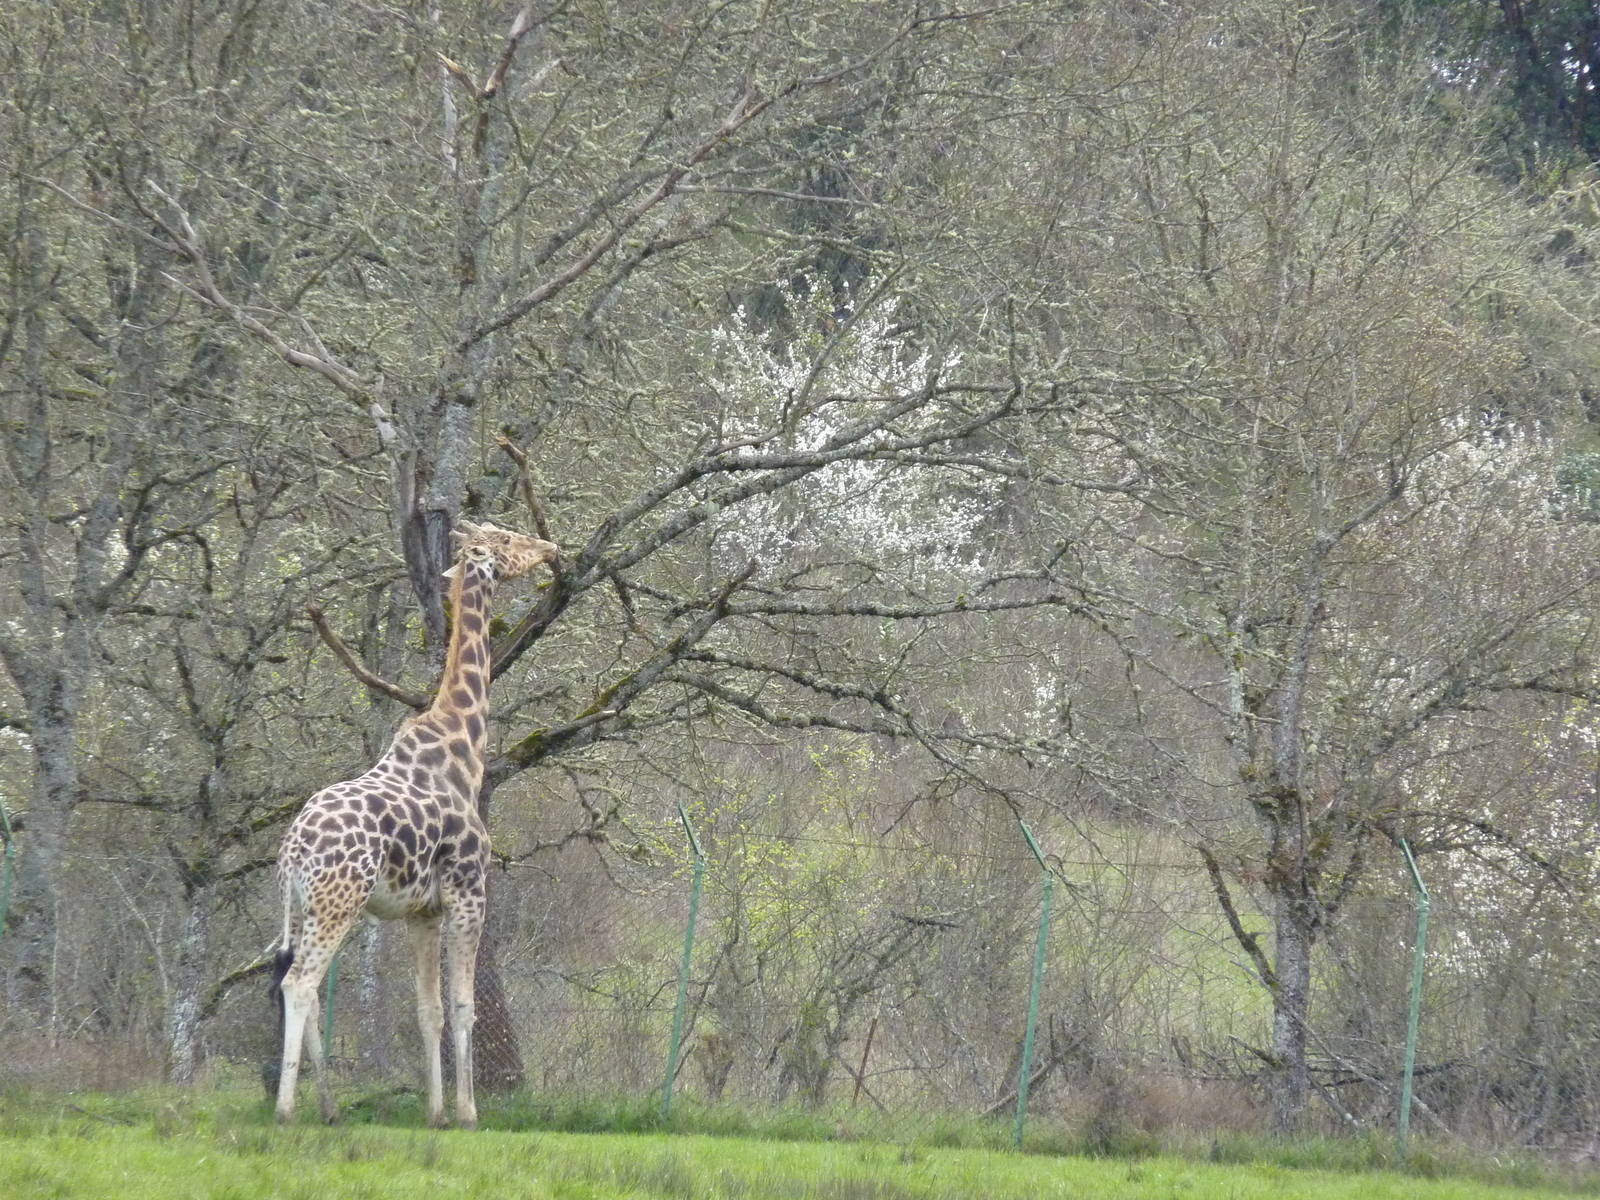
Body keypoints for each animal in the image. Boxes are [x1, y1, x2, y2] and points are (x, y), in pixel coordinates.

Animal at [271, 520, 558, 1128]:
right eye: (505, 539)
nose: (550, 548)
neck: (462, 746)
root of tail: (292, 851)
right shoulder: (469, 891)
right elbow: (465, 1006)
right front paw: (469, 1113)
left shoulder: (421, 912)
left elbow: (429, 1010)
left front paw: (437, 1113)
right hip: (340, 902)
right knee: (300, 983)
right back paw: (287, 1109)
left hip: (304, 908)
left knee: (302, 986)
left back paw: (329, 1107)